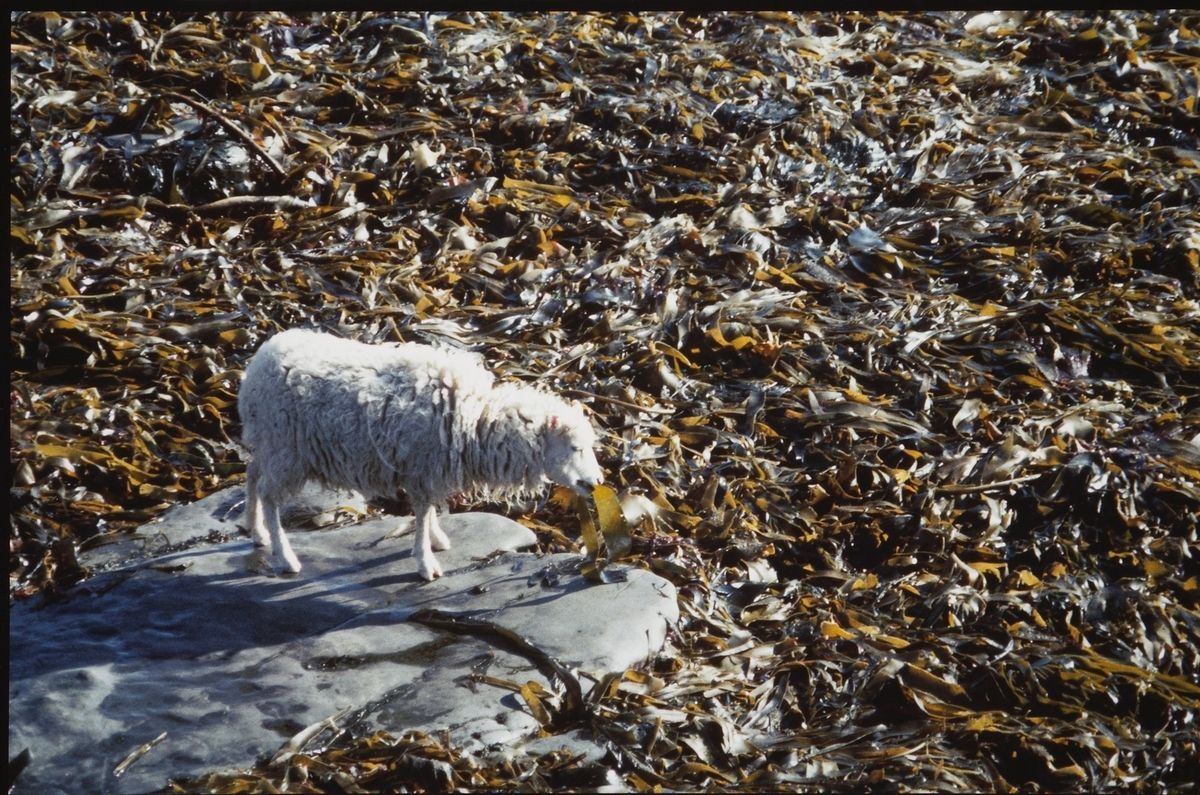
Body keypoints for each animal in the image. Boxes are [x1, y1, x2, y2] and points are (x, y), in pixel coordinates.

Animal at [238, 326, 604, 583]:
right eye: (575, 448)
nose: (597, 482)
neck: (478, 420)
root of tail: (257, 365)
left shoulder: (427, 471)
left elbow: (427, 512)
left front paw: (436, 539)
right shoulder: (422, 466)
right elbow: (423, 512)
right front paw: (426, 562)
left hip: (269, 443)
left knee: (253, 476)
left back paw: (256, 532)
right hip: (287, 450)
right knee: (269, 496)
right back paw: (284, 556)